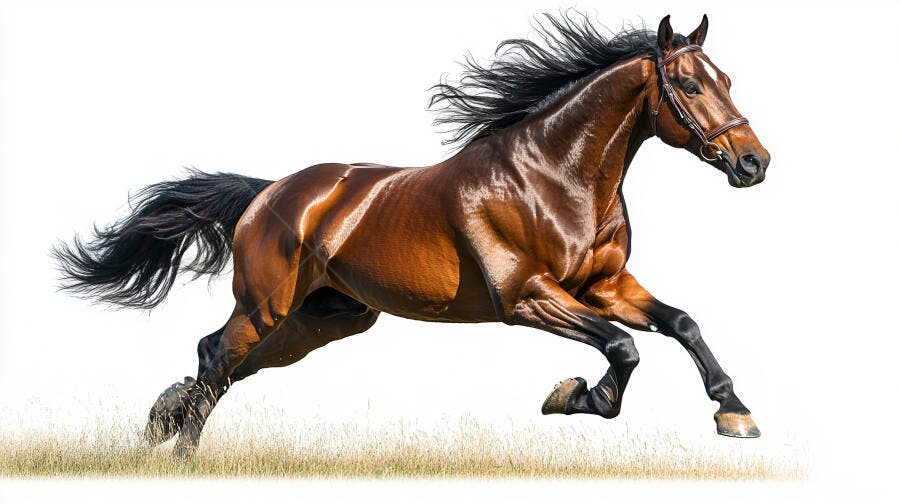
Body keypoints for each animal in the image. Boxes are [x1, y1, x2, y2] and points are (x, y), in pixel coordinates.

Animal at [54, 12, 770, 458]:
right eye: (688, 85)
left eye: (729, 80)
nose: (754, 163)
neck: (554, 175)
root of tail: (268, 193)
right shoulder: (528, 298)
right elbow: (623, 349)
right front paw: (571, 397)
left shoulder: (605, 285)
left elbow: (681, 324)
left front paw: (734, 412)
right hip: (268, 306)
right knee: (216, 354)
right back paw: (181, 448)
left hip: (325, 320)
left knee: (227, 361)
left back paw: (164, 420)